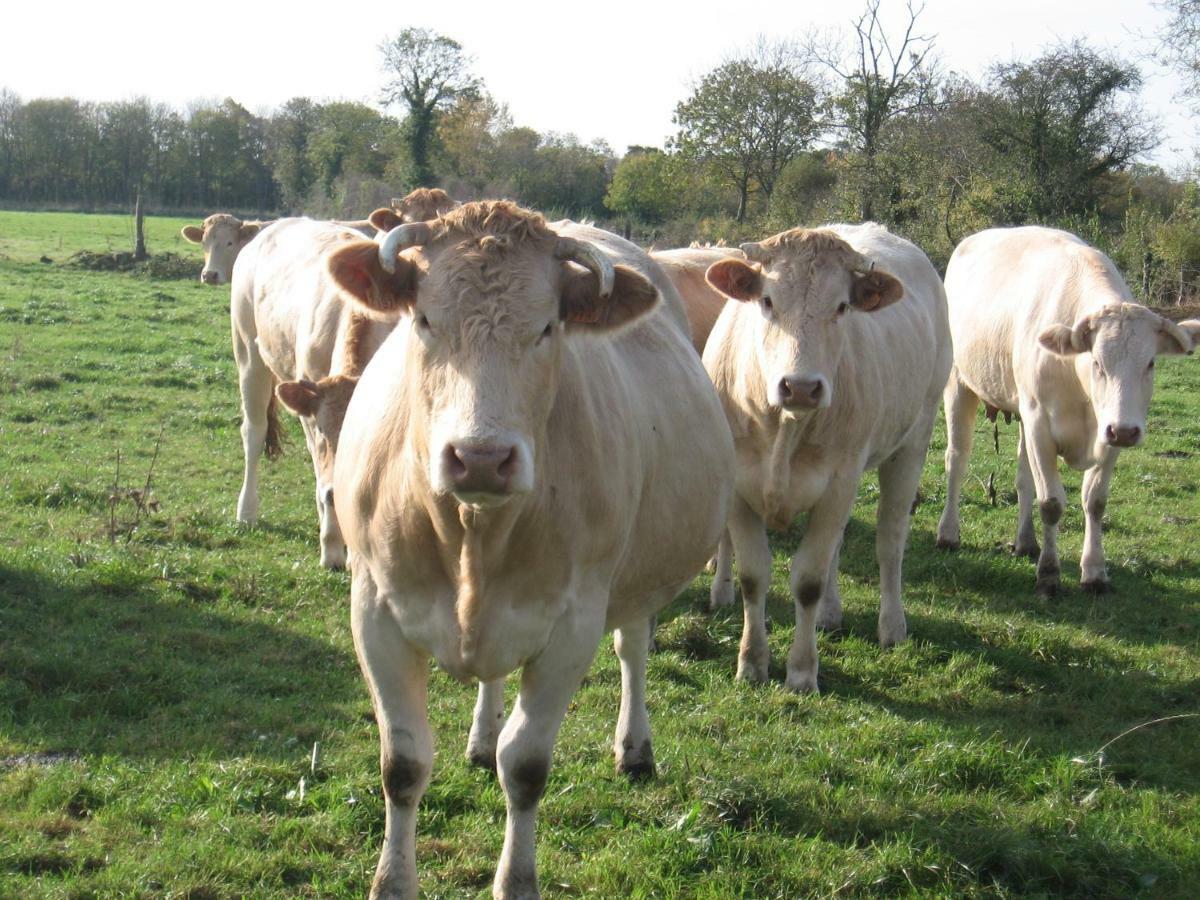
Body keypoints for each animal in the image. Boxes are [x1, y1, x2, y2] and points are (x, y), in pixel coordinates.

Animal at [235, 218, 398, 566]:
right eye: (325, 431)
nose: (336, 493)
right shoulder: (310, 411)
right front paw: (333, 546)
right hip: (248, 353)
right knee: (254, 431)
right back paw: (247, 511)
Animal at [328, 200, 734, 897]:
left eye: (547, 328)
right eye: (424, 319)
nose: (480, 458)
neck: (472, 535)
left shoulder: (573, 624)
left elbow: (524, 767)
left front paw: (516, 880)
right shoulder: (374, 609)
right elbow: (402, 764)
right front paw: (392, 882)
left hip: (633, 580)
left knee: (632, 648)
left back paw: (634, 748)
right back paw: (480, 737)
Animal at [700, 222, 945, 696]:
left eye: (843, 306)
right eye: (767, 301)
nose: (800, 386)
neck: (785, 427)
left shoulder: (838, 482)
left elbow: (808, 580)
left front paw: (801, 672)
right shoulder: (740, 488)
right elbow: (754, 574)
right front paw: (752, 662)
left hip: (912, 442)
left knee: (890, 540)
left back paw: (892, 626)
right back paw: (831, 615)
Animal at [936, 225, 1200, 595]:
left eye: (1150, 363)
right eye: (1097, 362)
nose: (1125, 431)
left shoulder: (1107, 433)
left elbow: (1095, 501)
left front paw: (1094, 572)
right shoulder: (1040, 425)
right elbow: (1051, 502)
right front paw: (1049, 575)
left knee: (1023, 477)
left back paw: (1026, 542)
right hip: (959, 385)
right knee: (957, 459)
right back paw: (948, 534)